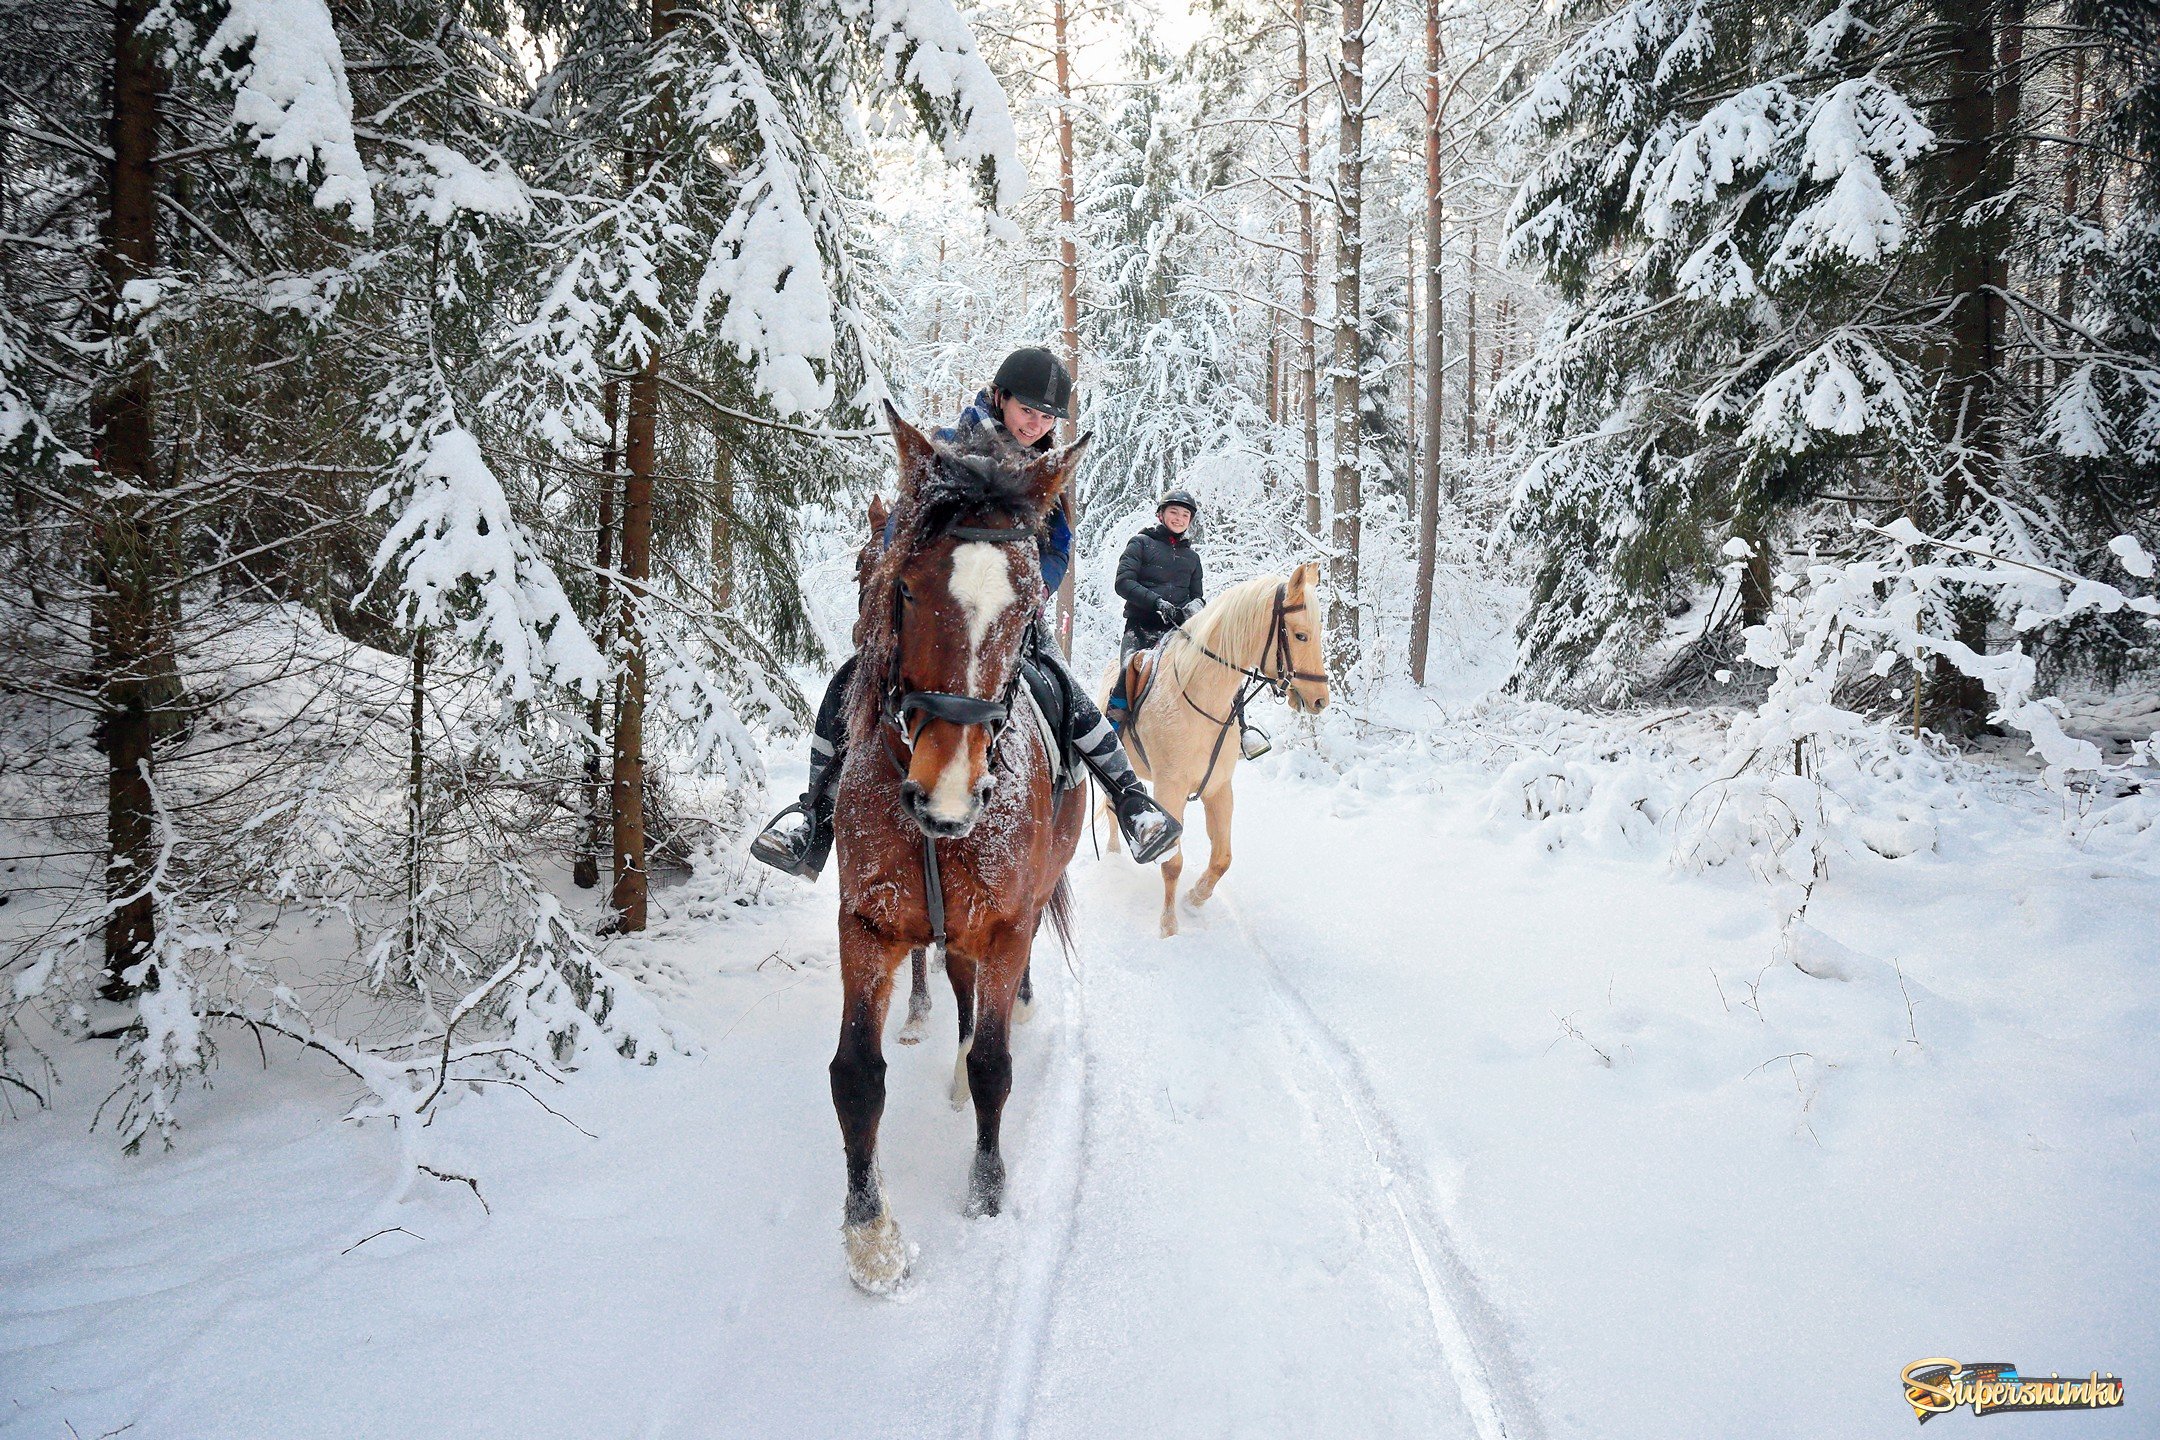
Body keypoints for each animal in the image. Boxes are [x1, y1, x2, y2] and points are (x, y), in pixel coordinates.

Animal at [829, 403, 1097, 1295]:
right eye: (907, 585)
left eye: (1025, 606)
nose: (945, 796)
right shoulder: (866, 925)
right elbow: (855, 1075)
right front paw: (870, 1234)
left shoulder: (1007, 926)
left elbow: (994, 1066)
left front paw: (986, 1192)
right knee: (956, 985)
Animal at [1105, 569, 1321, 941]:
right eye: (1300, 635)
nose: (1321, 699)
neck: (1198, 698)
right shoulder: (1171, 789)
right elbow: (1172, 863)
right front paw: (1169, 927)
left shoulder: (1219, 788)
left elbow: (1222, 858)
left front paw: (1194, 899)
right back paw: (1113, 857)